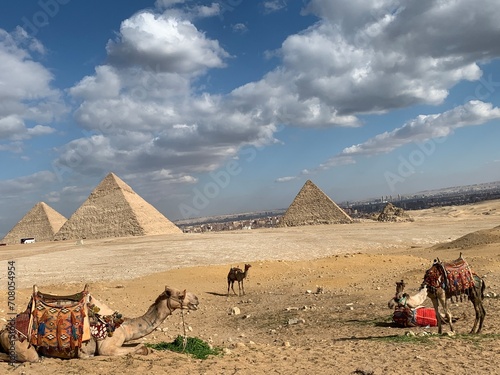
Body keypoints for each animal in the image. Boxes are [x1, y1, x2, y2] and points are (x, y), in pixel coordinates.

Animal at [0, 286, 199, 362]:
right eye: (180, 295)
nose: (196, 300)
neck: (123, 326)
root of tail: (4, 330)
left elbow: (140, 345)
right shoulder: (107, 348)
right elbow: (138, 347)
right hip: (21, 344)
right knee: (30, 358)